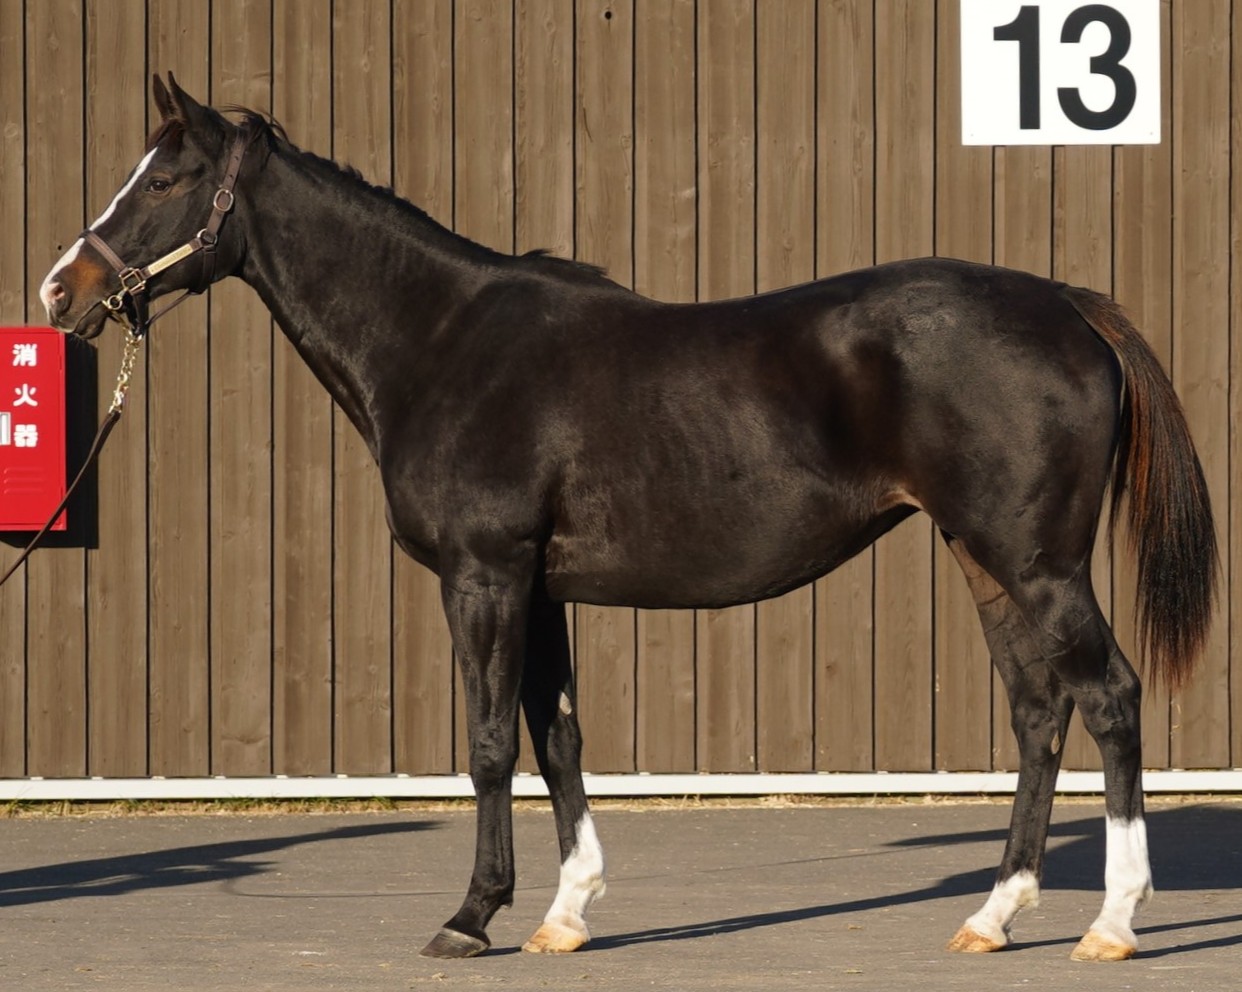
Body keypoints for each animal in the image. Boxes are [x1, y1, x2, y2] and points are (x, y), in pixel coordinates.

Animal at [41, 74, 1216, 963]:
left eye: (166, 178)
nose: (62, 289)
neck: (443, 341)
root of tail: (1070, 307)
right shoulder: (540, 587)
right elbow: (556, 736)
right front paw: (565, 913)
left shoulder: (483, 575)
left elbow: (488, 743)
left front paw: (471, 917)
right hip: (984, 557)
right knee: (1038, 711)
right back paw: (993, 913)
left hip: (1039, 561)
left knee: (1109, 697)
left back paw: (1113, 922)